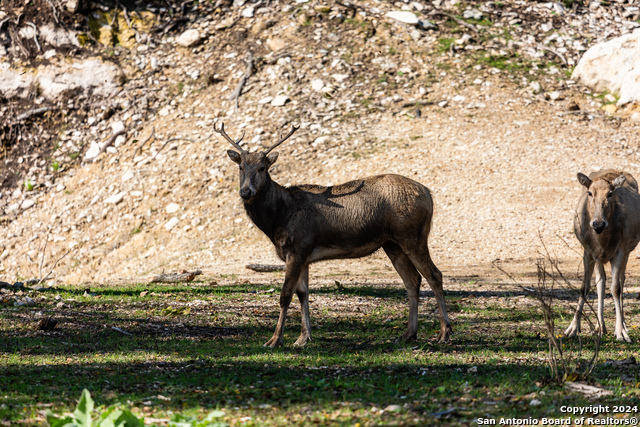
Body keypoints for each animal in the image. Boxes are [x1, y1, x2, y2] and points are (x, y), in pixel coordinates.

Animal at [218, 123, 452, 348]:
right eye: (240, 167)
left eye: (262, 168)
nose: (245, 192)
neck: (277, 219)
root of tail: (429, 194)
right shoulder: (303, 255)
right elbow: (303, 294)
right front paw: (303, 338)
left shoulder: (297, 247)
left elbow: (285, 295)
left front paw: (275, 340)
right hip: (392, 244)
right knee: (412, 280)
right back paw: (408, 334)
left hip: (413, 236)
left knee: (434, 275)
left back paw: (444, 333)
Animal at [564, 169, 640, 342]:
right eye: (590, 193)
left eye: (610, 193)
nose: (598, 224)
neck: (602, 239)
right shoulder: (589, 251)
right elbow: (585, 287)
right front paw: (572, 328)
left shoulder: (620, 249)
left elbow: (616, 288)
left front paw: (621, 332)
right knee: (600, 282)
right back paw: (600, 327)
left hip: (627, 250)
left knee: (621, 280)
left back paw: (623, 324)